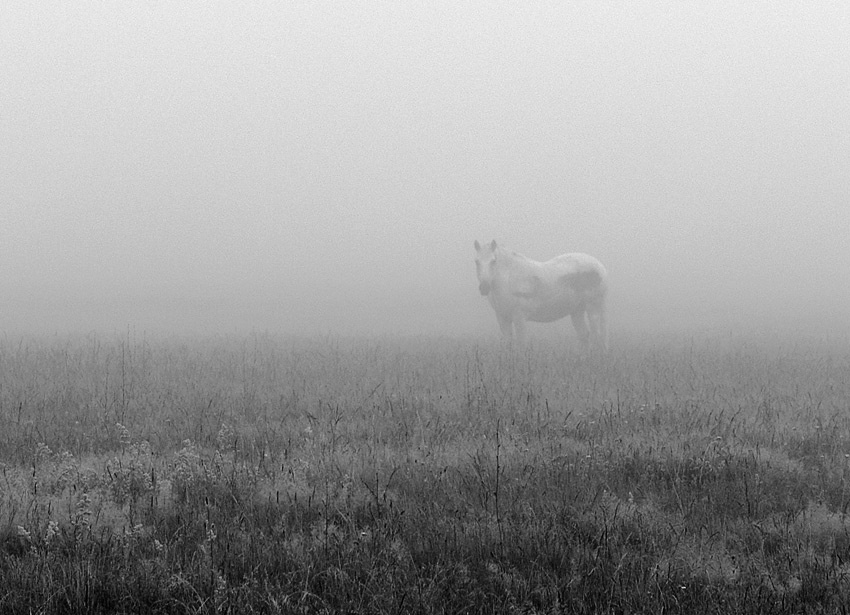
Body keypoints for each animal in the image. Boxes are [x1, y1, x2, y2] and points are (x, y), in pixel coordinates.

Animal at [474, 239, 608, 351]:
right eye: (476, 261)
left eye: (493, 261)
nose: (484, 287)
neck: (508, 279)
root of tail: (600, 267)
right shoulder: (502, 317)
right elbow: (508, 342)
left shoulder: (519, 317)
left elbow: (521, 343)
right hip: (577, 311)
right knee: (584, 335)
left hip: (593, 308)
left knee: (597, 336)